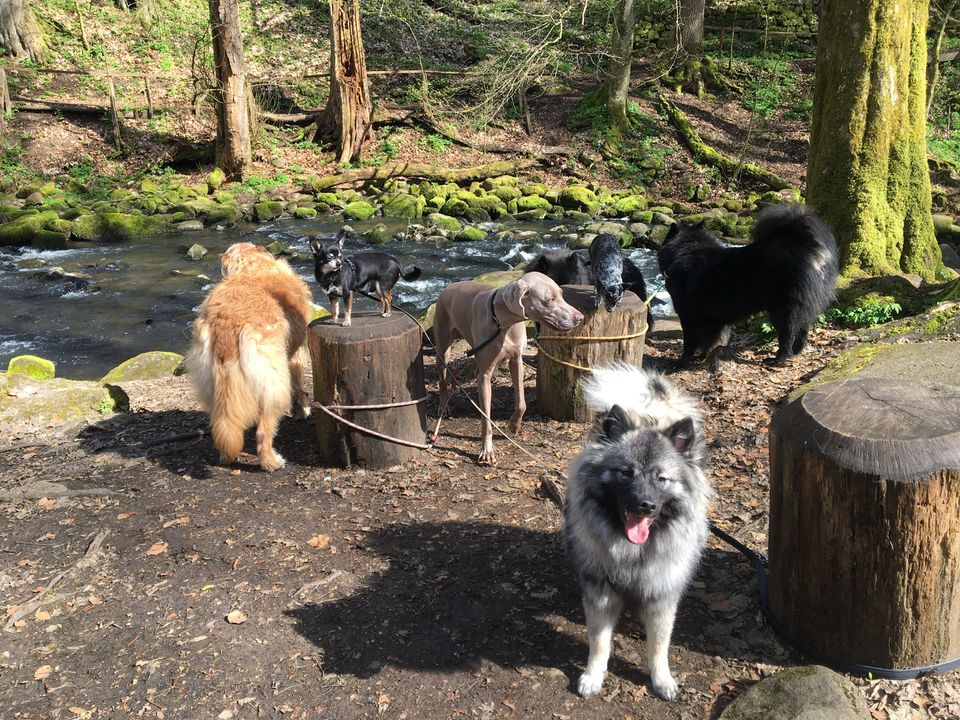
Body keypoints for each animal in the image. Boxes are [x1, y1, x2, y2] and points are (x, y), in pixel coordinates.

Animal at [185, 242, 312, 472]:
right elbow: (299, 387)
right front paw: (302, 411)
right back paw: (271, 462)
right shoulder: (294, 356)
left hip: (211, 382)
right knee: (263, 432)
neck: (253, 266)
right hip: (274, 380)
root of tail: (227, 321)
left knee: (223, 423)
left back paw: (226, 456)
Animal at [436, 272, 584, 464]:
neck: (503, 324)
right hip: (443, 345)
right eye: (549, 299)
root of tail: (449, 287)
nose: (580, 318)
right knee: (444, 378)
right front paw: (487, 450)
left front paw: (514, 425)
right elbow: (486, 420)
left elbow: (521, 403)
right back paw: (443, 406)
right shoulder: (486, 370)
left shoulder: (516, 360)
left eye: (561, 295)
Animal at [656, 205, 836, 368]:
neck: (685, 250)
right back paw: (797, 351)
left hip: (782, 309)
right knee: (804, 328)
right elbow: (712, 339)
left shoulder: (687, 315)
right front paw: (703, 356)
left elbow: (689, 342)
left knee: (787, 335)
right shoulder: (715, 319)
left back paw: (778, 360)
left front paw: (682, 362)